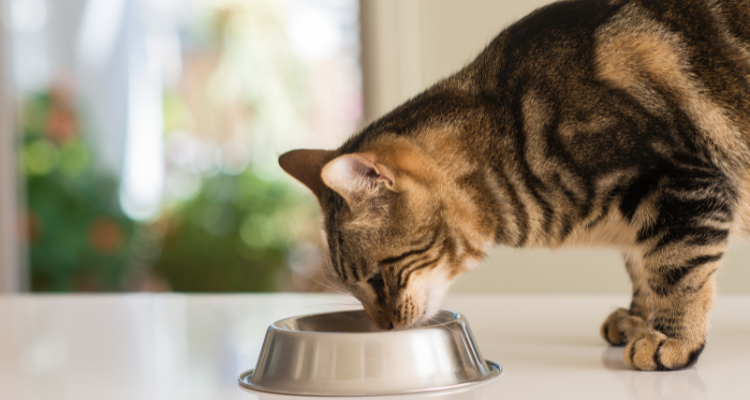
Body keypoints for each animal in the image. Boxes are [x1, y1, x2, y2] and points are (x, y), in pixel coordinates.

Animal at [278, 0, 750, 372]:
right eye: (354, 289)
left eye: (376, 278)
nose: (384, 327)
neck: (507, 134)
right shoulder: (651, 214)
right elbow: (641, 266)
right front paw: (638, 318)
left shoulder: (682, 184)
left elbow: (676, 271)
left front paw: (672, 338)